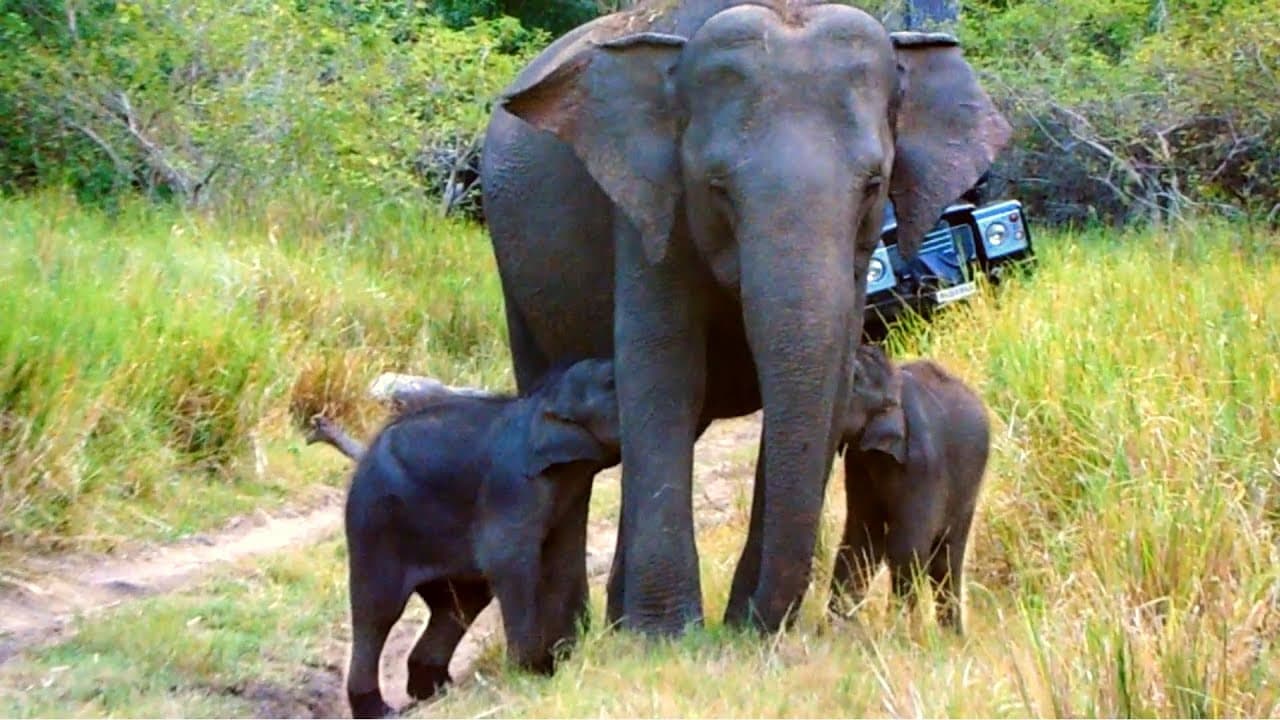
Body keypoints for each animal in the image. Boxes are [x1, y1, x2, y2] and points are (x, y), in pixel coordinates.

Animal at [330, 356, 619, 712]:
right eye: (612, 382)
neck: (543, 402)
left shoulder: (567, 491)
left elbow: (562, 555)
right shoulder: (511, 487)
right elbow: (507, 561)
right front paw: (533, 674)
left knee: (460, 602)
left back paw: (436, 689)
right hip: (373, 522)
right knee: (379, 611)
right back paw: (381, 710)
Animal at [829, 345, 988, 630]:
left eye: (854, 379)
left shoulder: (922, 466)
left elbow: (907, 549)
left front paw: (895, 631)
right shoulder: (858, 462)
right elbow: (861, 539)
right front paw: (837, 630)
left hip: (970, 486)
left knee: (947, 558)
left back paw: (951, 635)